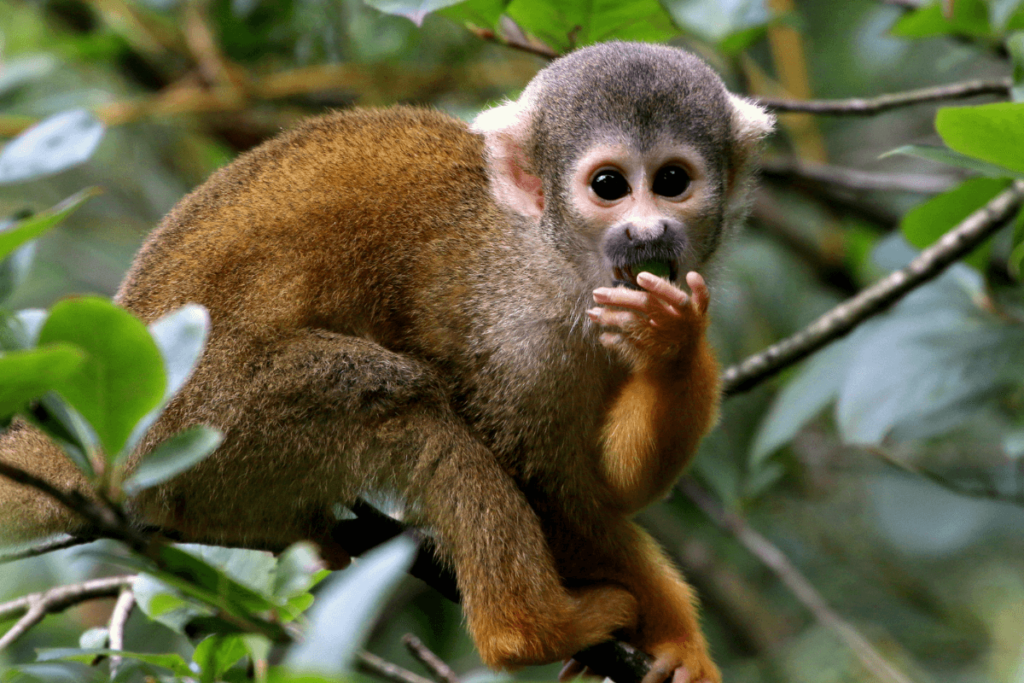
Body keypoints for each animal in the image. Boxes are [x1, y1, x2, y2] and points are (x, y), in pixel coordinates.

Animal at [0, 42, 772, 683]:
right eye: (609, 186)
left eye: (671, 180)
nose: (646, 232)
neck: (553, 259)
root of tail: (108, 456)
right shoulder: (509, 325)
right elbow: (551, 487)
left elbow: (613, 486)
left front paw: (672, 342)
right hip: (217, 419)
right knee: (411, 405)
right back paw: (528, 629)